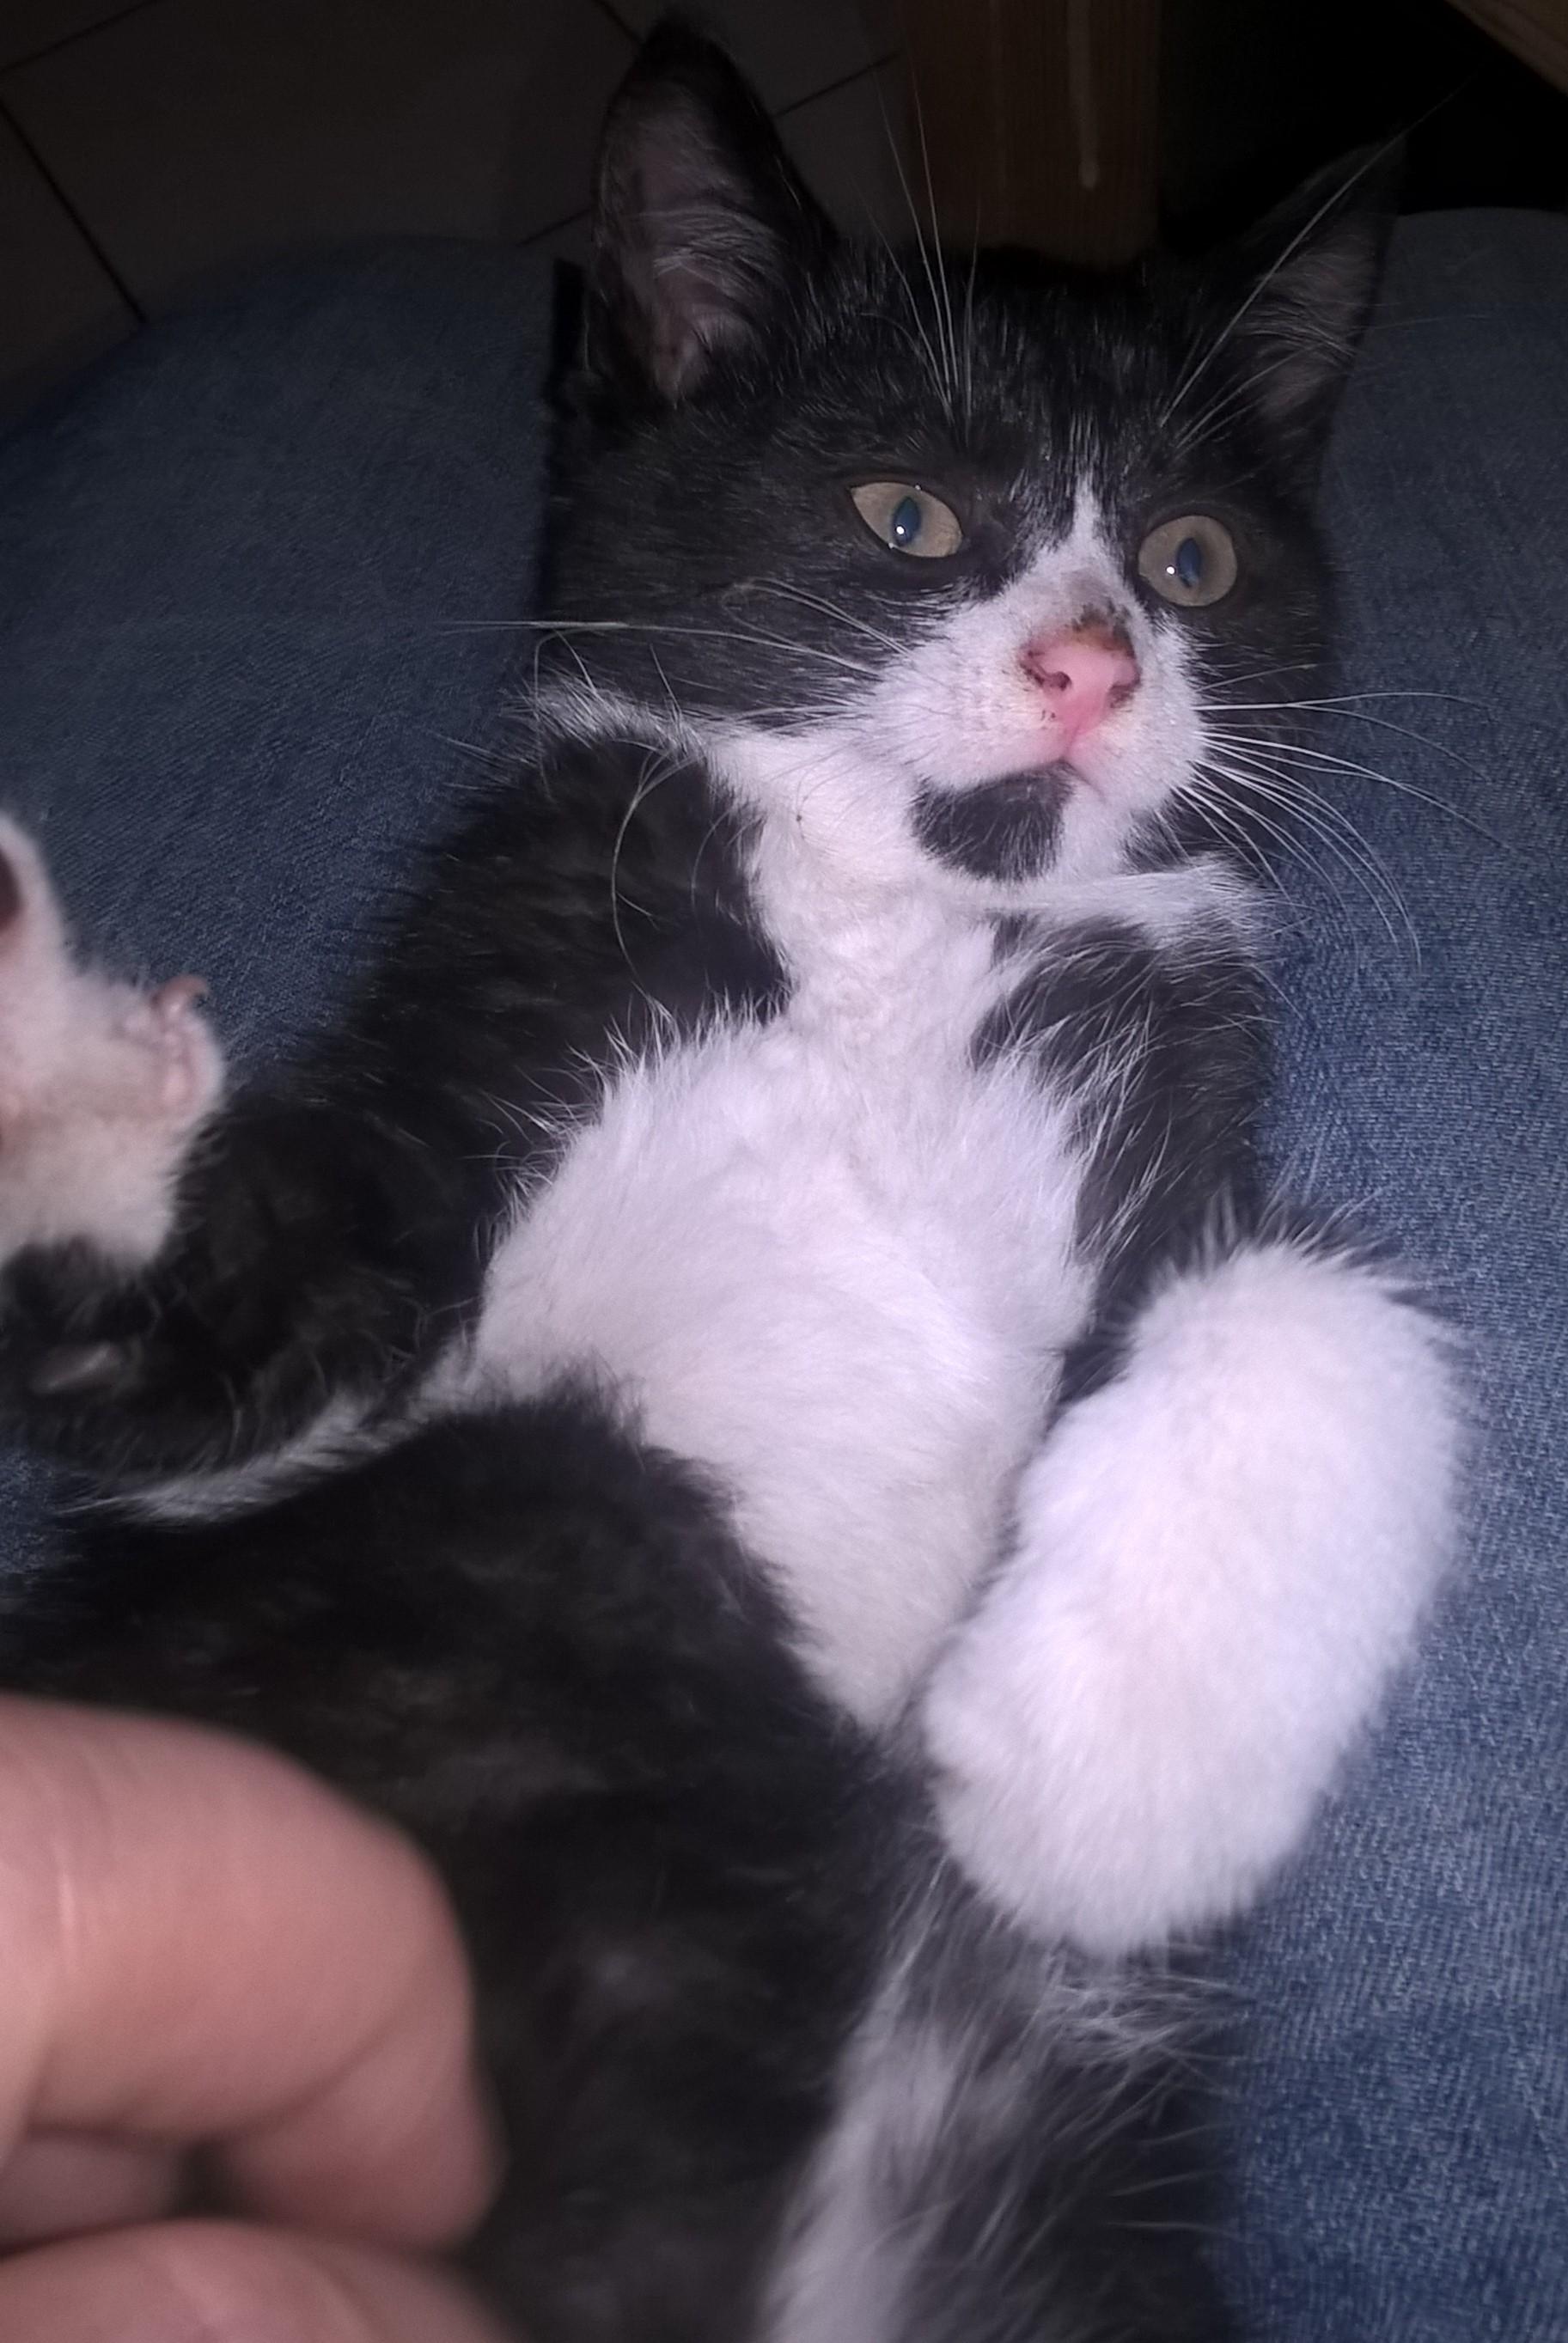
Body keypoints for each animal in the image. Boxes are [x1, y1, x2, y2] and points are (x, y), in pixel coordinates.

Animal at [0, 22, 1462, 2342]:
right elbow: (237, 1339)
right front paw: (47, 1050)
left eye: (1190, 562)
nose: (1090, 665)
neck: (897, 927)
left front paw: (1099, 1780)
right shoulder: (482, 1052)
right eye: (904, 517)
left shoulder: (1165, 1098)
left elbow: (1329, 1298)